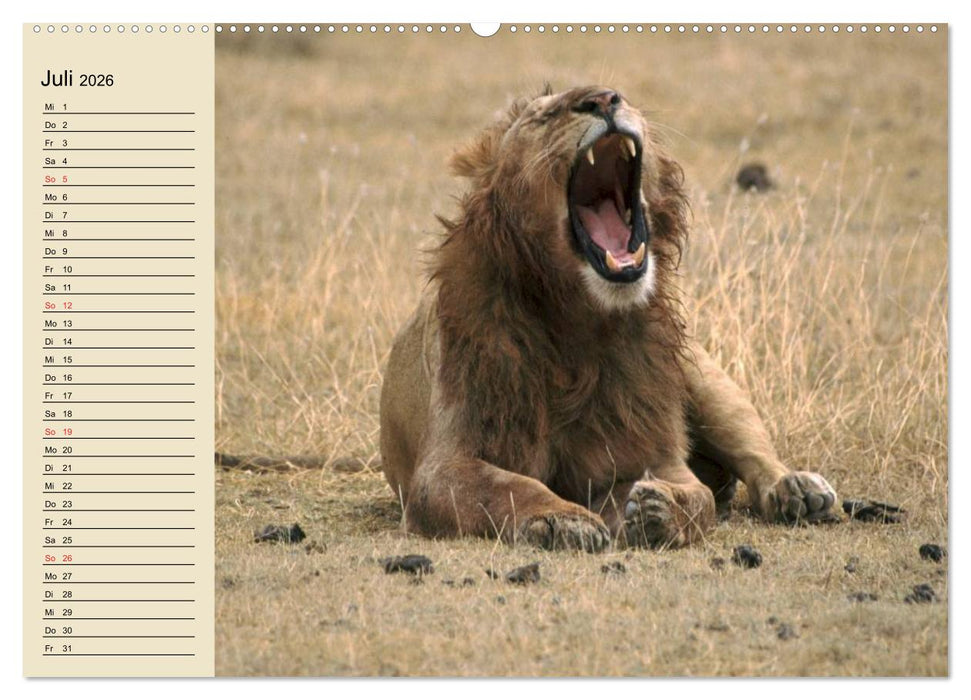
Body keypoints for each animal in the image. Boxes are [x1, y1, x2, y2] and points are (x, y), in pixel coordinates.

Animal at [379, 86, 837, 551]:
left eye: (621, 96)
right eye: (544, 117)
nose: (602, 99)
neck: (580, 319)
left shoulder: (649, 448)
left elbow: (698, 499)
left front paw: (659, 510)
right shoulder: (442, 468)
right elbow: (508, 486)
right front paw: (561, 518)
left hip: (703, 378)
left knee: (753, 451)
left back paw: (797, 489)